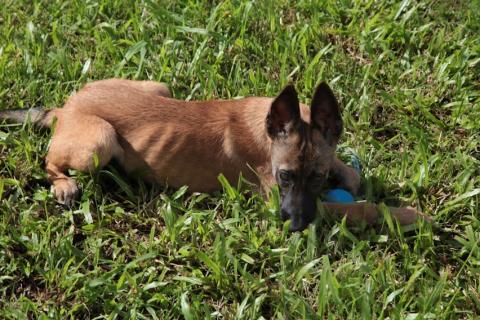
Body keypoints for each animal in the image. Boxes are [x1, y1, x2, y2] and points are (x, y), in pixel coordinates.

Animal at [1, 79, 366, 230]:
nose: (296, 225)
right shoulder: (272, 196)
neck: (266, 134)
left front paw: (350, 178)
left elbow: (348, 172)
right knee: (50, 160)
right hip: (98, 142)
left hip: (158, 87)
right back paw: (63, 185)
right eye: (284, 176)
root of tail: (66, 108)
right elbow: (354, 209)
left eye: (318, 177)